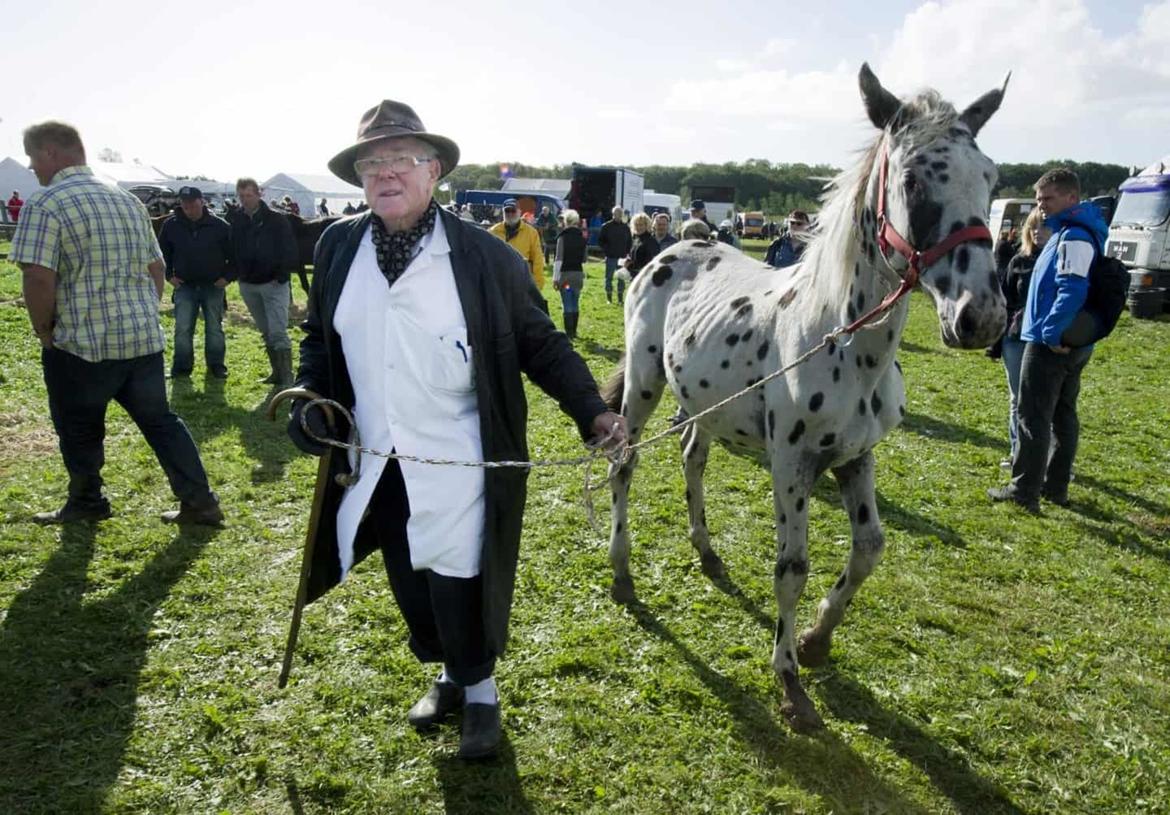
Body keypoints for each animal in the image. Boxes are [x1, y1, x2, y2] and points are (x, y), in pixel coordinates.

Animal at [599, 65, 1010, 729]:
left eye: (992, 177)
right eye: (914, 178)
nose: (983, 317)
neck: (842, 339)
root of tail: (672, 248)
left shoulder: (855, 458)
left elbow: (869, 548)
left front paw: (817, 641)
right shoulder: (792, 466)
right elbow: (790, 568)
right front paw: (790, 680)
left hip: (703, 404)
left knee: (692, 457)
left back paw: (706, 552)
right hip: (643, 384)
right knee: (624, 464)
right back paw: (621, 568)